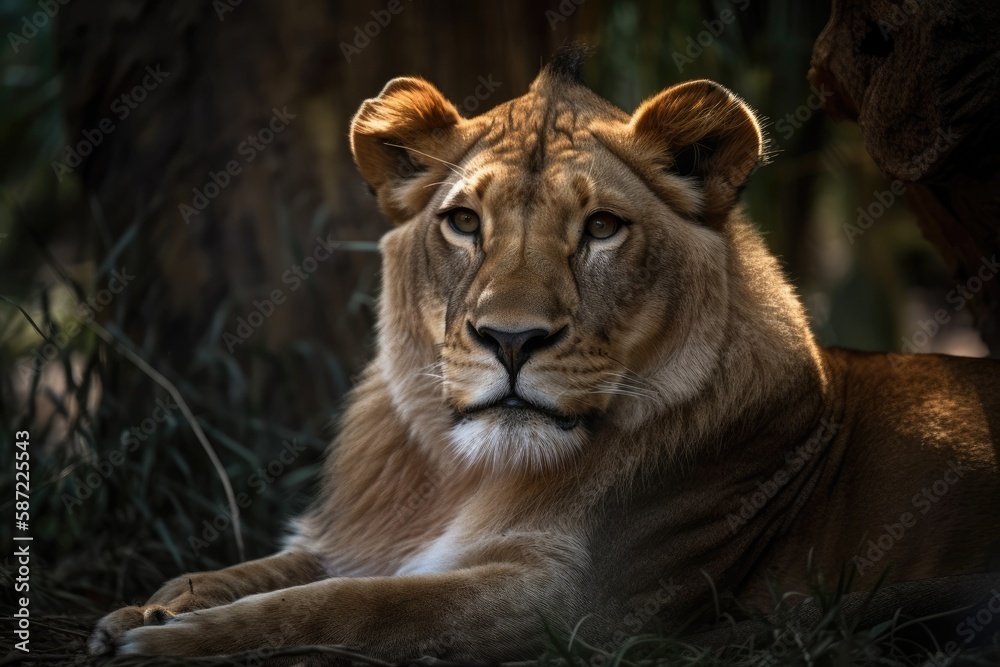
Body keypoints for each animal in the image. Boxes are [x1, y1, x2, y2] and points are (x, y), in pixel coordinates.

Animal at [90, 46, 1000, 661]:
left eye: (601, 227)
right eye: (464, 222)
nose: (512, 338)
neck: (464, 476)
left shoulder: (576, 606)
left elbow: (356, 605)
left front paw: (168, 639)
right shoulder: (362, 534)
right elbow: (275, 567)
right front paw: (159, 603)